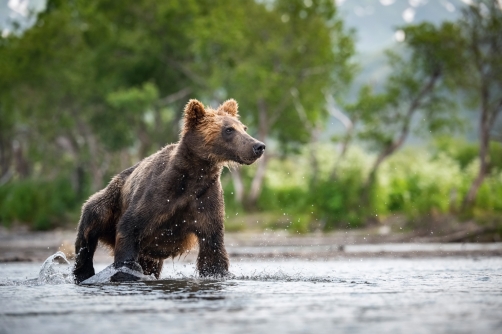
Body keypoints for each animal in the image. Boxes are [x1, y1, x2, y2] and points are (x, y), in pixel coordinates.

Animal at [73, 98, 266, 284]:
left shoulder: (205, 200)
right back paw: (84, 273)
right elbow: (129, 228)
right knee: (88, 231)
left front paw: (218, 273)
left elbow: (212, 247)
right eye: (228, 130)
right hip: (109, 202)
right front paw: (126, 271)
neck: (193, 177)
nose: (259, 146)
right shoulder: (158, 195)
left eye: (244, 128)